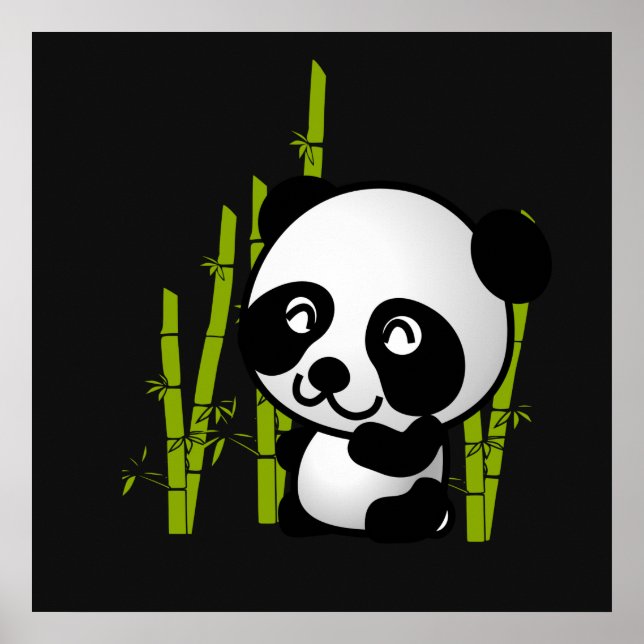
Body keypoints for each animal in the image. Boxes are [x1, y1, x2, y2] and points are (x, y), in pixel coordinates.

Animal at [239, 177, 551, 543]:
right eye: (301, 315)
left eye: (401, 335)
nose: (327, 371)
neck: (342, 432)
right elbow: (299, 444)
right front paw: (287, 445)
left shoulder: (428, 427)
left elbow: (407, 454)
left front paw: (365, 441)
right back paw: (297, 519)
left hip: (421, 496)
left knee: (415, 504)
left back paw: (389, 520)